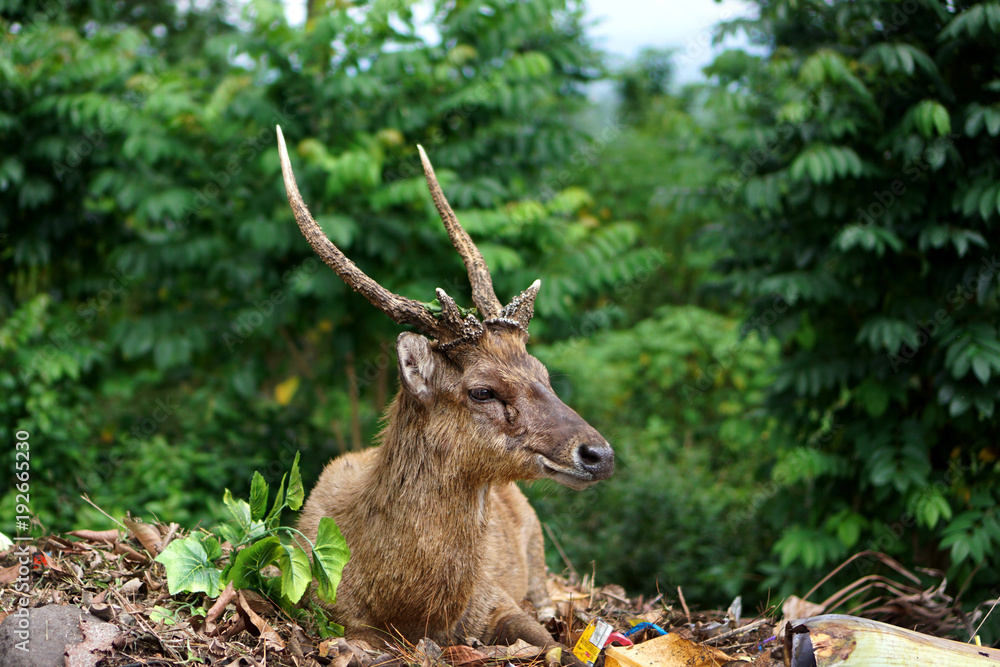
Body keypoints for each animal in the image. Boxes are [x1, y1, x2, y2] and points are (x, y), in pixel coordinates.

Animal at [276, 126, 614, 662]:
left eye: (542, 372)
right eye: (482, 391)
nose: (599, 453)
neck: (415, 610)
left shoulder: (496, 599)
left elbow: (552, 647)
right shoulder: (328, 610)